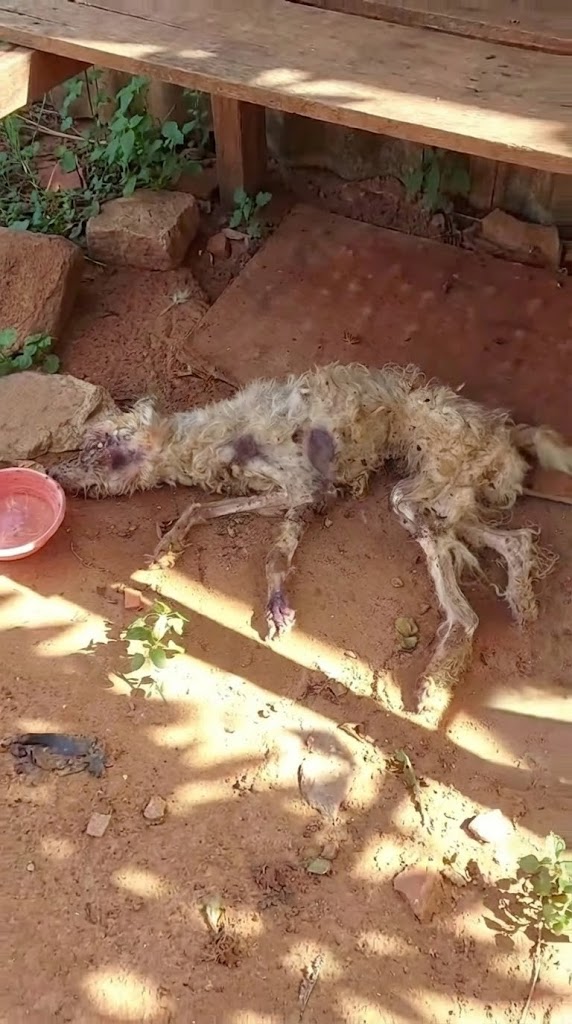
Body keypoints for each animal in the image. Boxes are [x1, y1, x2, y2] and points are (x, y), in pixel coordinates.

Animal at [50, 362, 572, 721]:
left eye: (98, 443)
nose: (54, 474)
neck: (210, 437)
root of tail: (507, 428)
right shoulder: (292, 497)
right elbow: (217, 519)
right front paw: (171, 550)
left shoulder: (299, 489)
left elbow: (266, 549)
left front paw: (273, 607)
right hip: (448, 502)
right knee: (516, 540)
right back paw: (521, 598)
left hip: (422, 497)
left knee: (463, 613)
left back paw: (434, 682)